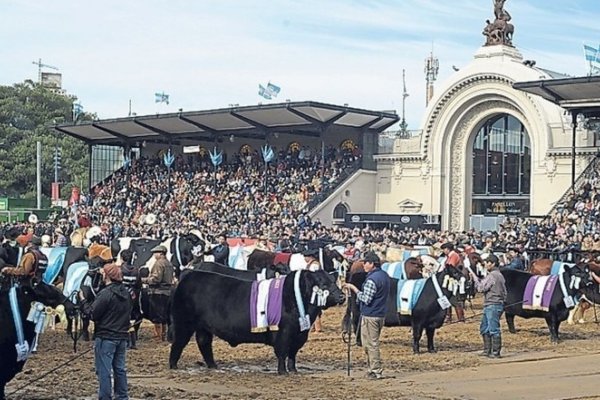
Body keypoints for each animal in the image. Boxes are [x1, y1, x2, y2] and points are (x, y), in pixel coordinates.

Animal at [169, 268, 344, 376]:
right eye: (323, 284)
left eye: (334, 281)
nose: (342, 296)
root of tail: (189, 275)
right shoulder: (283, 332)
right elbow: (282, 352)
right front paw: (283, 372)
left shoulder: (300, 335)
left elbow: (292, 354)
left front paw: (293, 370)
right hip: (184, 323)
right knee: (178, 343)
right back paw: (173, 366)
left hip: (204, 327)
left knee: (204, 343)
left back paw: (213, 366)